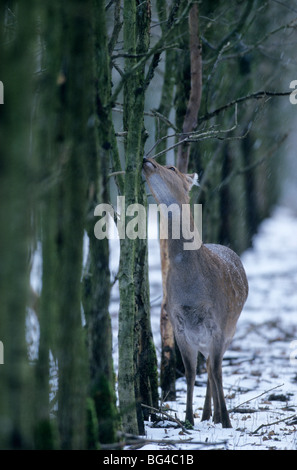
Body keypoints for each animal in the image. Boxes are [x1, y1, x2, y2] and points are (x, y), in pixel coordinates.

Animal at [142, 157, 247, 426]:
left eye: (172, 168)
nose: (147, 160)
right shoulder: (179, 325)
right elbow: (190, 373)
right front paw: (189, 419)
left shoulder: (219, 323)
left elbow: (217, 371)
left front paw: (227, 421)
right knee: (206, 366)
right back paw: (208, 414)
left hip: (232, 328)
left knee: (212, 367)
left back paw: (217, 415)